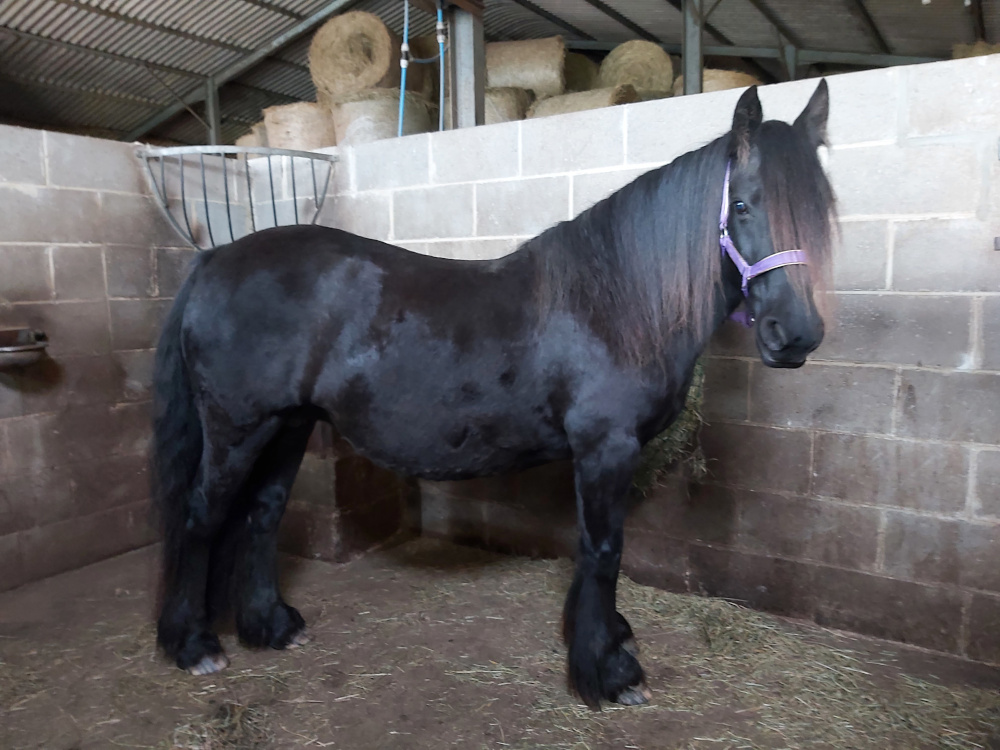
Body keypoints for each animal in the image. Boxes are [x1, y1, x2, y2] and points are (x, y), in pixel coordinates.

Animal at [150, 83, 836, 712]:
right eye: (741, 204)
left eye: (824, 207)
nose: (795, 334)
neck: (613, 302)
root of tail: (213, 260)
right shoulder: (605, 449)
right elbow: (603, 550)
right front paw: (608, 674)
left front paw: (609, 644)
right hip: (238, 429)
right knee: (201, 516)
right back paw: (194, 646)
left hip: (287, 426)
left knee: (261, 514)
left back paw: (270, 626)